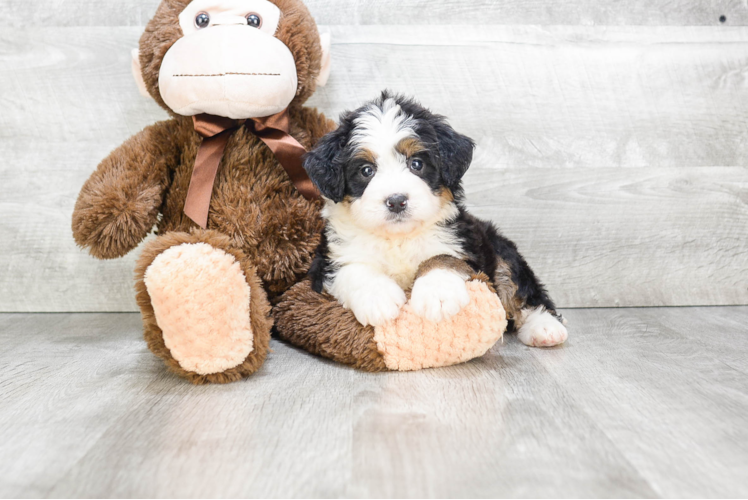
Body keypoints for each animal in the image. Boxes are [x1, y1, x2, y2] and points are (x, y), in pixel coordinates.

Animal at [304, 91, 568, 348]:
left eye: (416, 164)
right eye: (366, 171)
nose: (397, 201)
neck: (398, 238)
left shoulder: (462, 243)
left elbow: (442, 257)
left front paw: (437, 294)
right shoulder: (327, 260)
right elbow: (352, 268)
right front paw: (378, 298)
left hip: (501, 250)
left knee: (524, 291)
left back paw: (545, 328)